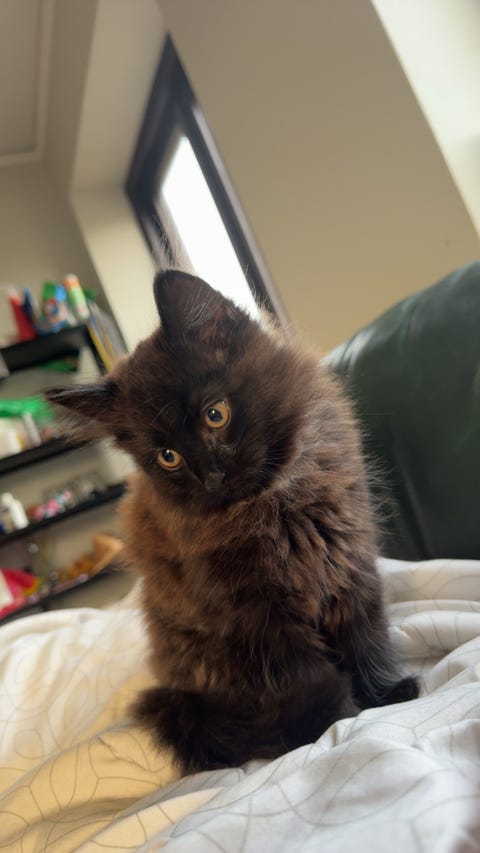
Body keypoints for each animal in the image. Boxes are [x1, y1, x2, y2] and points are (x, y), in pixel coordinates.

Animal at [46, 270, 418, 773]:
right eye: (168, 457)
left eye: (215, 414)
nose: (211, 475)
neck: (274, 507)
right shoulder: (256, 617)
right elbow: (306, 674)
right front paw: (331, 725)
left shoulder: (347, 560)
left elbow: (364, 636)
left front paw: (383, 696)